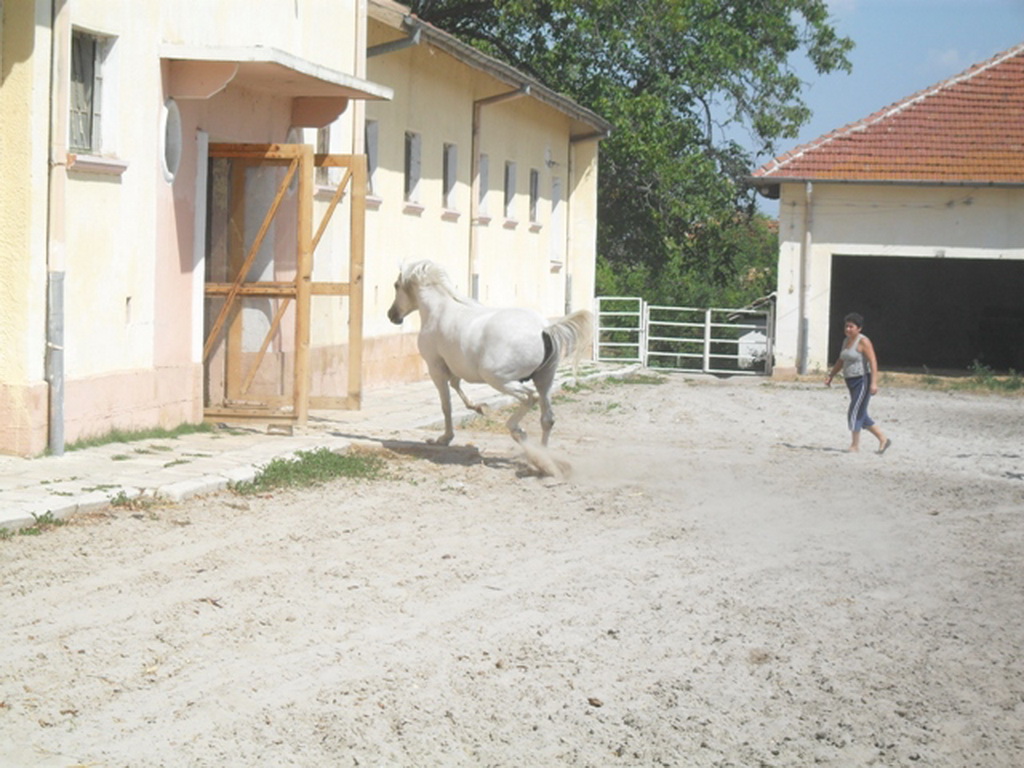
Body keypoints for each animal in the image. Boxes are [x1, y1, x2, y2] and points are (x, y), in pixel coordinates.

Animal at [387, 260, 593, 454]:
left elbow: (446, 405)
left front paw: (444, 438)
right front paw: (478, 407)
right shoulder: (455, 366)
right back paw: (543, 459)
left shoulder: (435, 368)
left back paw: (518, 432)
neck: (439, 310)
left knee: (529, 397)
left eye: (396, 285)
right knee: (547, 418)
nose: (392, 315)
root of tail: (544, 329)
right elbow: (456, 386)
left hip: (497, 378)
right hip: (545, 379)